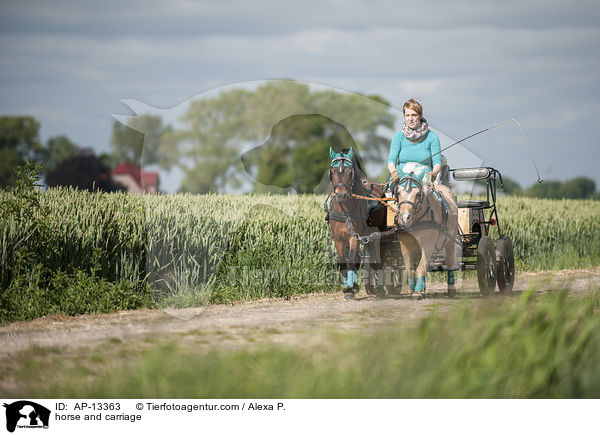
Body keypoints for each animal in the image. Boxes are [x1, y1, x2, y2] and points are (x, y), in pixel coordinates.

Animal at [326, 146, 386, 300]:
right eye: (332, 172)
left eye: (350, 172)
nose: (341, 195)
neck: (345, 211)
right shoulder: (339, 239)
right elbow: (343, 263)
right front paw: (349, 288)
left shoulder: (354, 237)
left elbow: (352, 260)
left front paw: (349, 290)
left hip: (377, 236)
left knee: (377, 259)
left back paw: (381, 289)